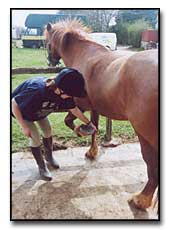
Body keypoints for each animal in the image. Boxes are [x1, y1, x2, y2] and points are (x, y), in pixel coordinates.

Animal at [43, 19, 158, 210]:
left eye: (47, 42)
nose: (50, 61)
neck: (83, 55)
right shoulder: (94, 107)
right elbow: (94, 128)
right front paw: (92, 151)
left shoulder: (80, 105)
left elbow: (69, 120)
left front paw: (81, 131)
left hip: (145, 134)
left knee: (152, 165)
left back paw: (141, 200)